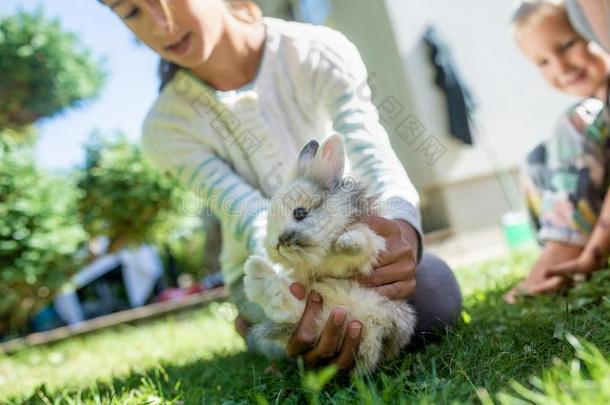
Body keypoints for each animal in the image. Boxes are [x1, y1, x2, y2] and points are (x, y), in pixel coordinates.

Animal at [242, 133, 414, 372]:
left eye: (300, 213)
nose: (275, 245)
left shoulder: (370, 242)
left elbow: (360, 244)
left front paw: (346, 242)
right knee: (291, 313)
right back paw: (257, 274)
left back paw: (256, 273)